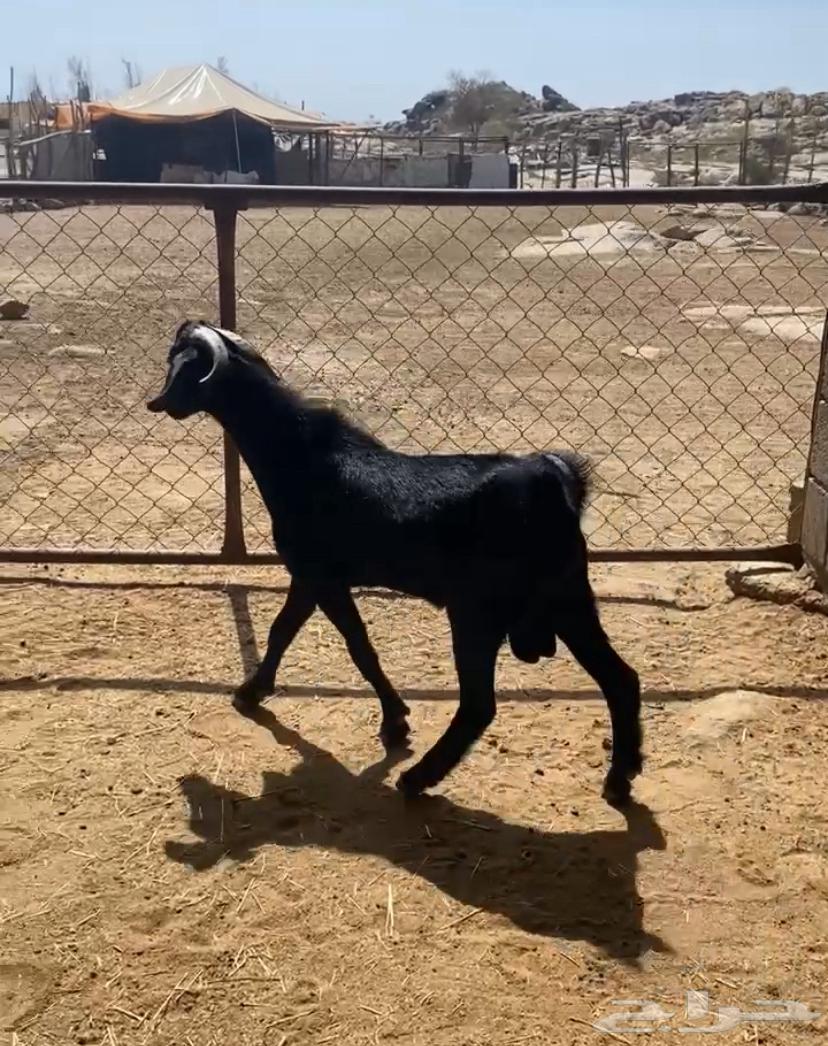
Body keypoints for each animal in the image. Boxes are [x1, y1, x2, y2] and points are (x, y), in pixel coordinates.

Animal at [147, 321, 642, 805]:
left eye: (186, 367)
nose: (159, 402)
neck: (300, 459)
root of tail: (554, 483)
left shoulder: (321, 577)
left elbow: (357, 646)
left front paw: (395, 721)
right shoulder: (308, 579)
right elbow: (283, 631)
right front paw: (254, 690)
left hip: (478, 614)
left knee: (479, 704)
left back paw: (418, 778)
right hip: (569, 601)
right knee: (621, 679)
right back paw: (620, 778)